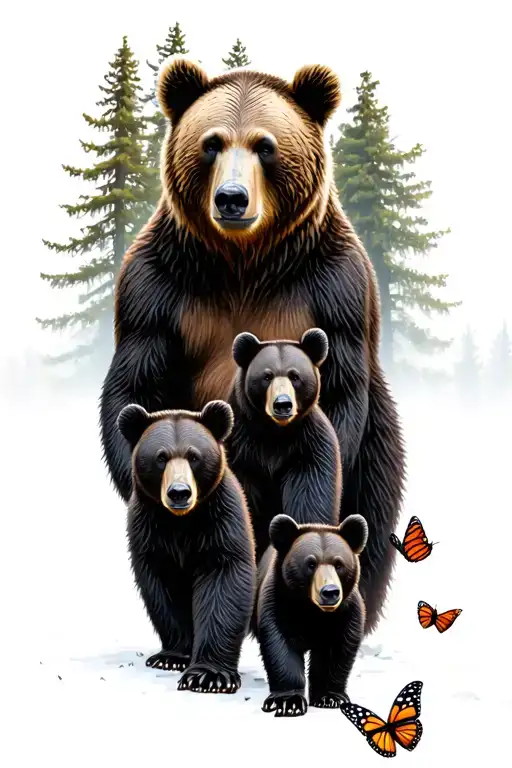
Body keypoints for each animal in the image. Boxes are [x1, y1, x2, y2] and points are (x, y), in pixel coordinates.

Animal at [117, 399, 256, 694]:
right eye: (160, 457)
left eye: (194, 456)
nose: (179, 492)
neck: (181, 521)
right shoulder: (150, 528)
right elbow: (165, 587)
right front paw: (173, 656)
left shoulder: (220, 521)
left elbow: (223, 581)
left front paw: (209, 676)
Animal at [228, 326, 342, 559]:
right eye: (267, 376)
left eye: (295, 376)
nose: (283, 404)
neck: (275, 433)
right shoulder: (241, 449)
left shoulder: (308, 448)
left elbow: (311, 497)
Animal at [256, 513, 368, 717]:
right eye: (311, 564)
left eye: (339, 564)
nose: (330, 592)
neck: (312, 611)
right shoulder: (278, 602)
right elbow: (280, 645)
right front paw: (288, 701)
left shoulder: (346, 612)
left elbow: (337, 649)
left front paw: (330, 697)